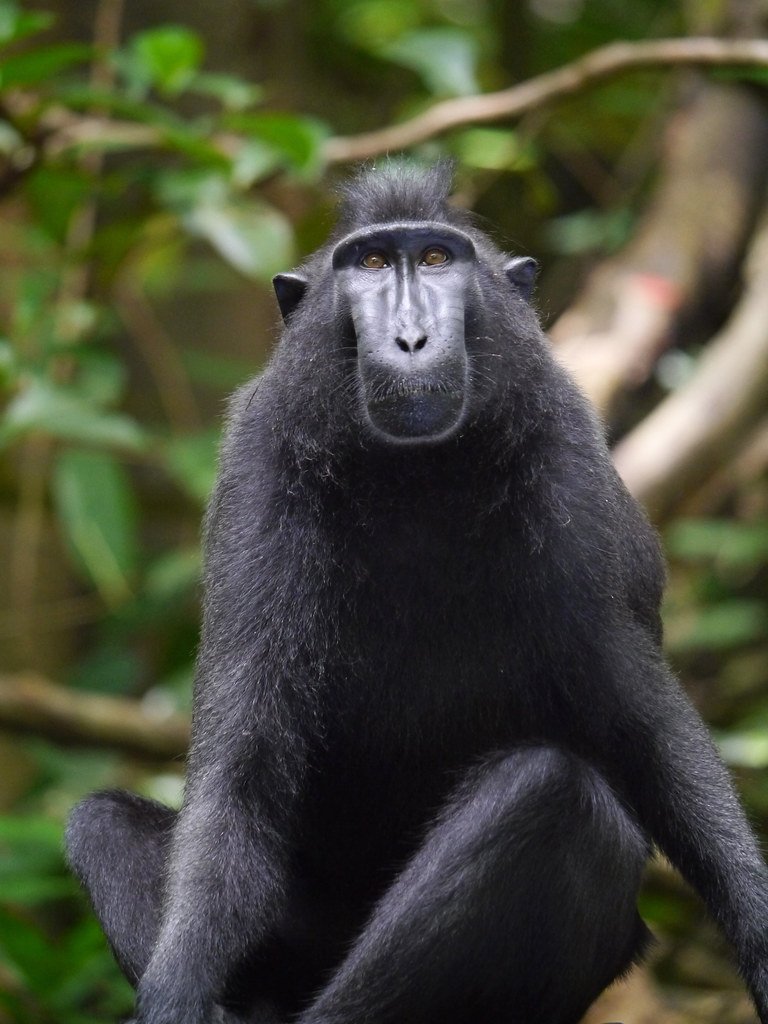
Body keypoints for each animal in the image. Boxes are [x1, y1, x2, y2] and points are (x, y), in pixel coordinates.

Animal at [64, 159, 768, 1024]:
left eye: (435, 260)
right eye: (370, 264)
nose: (409, 339)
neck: (416, 476)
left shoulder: (567, 453)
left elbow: (645, 727)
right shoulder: (259, 463)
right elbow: (239, 770)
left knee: (553, 790)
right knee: (102, 822)